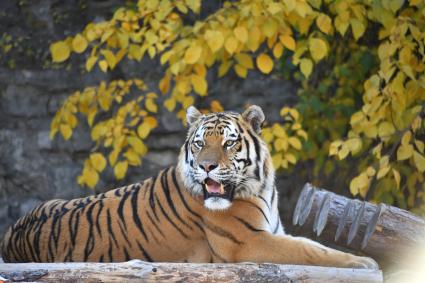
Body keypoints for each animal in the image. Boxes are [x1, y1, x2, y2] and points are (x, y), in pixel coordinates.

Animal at [0, 105, 378, 270]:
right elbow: (310, 249)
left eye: (228, 143)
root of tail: (11, 236)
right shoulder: (248, 242)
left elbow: (310, 244)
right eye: (199, 143)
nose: (205, 166)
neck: (259, 187)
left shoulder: (271, 232)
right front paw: (364, 262)